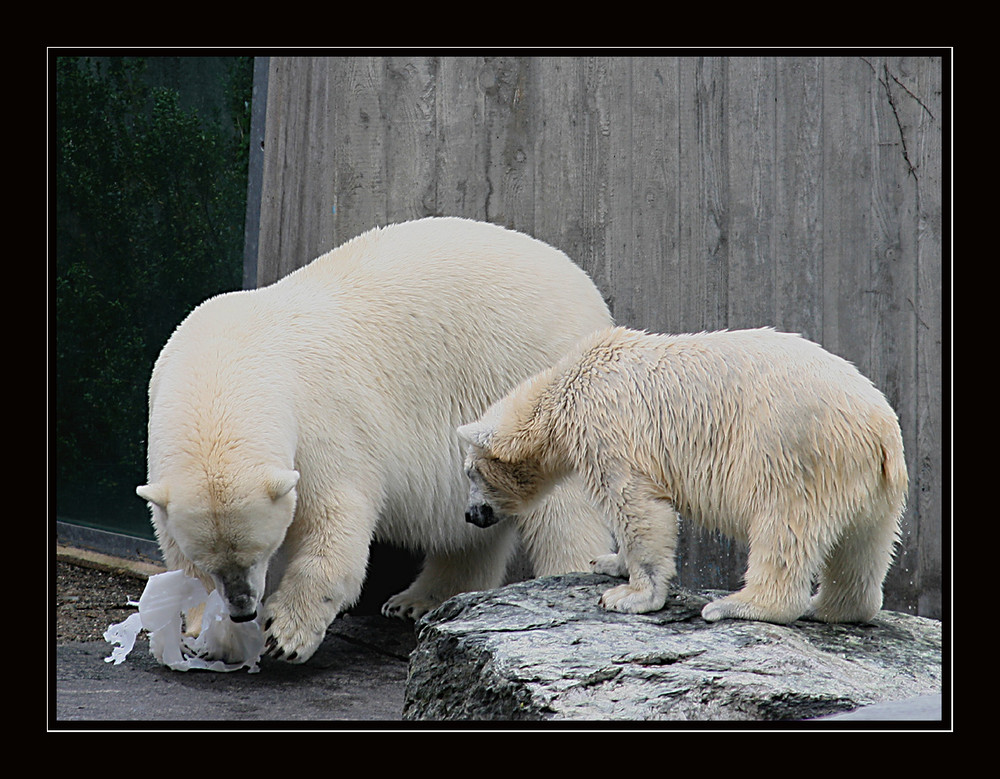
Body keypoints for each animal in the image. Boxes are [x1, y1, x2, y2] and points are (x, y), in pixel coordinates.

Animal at [137, 216, 612, 660]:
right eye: (210, 561)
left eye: (260, 551)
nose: (242, 608)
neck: (226, 362)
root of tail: (591, 292)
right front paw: (205, 633)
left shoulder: (321, 420)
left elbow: (335, 518)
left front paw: (285, 633)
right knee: (471, 528)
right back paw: (417, 600)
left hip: (531, 380)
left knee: (561, 510)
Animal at [458, 326, 912, 624]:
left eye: (470, 472)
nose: (471, 515)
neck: (566, 385)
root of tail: (879, 426)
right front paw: (608, 562)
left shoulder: (607, 425)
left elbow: (635, 503)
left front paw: (629, 596)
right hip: (873, 484)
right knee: (864, 546)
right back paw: (833, 609)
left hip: (795, 451)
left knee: (784, 527)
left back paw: (739, 606)